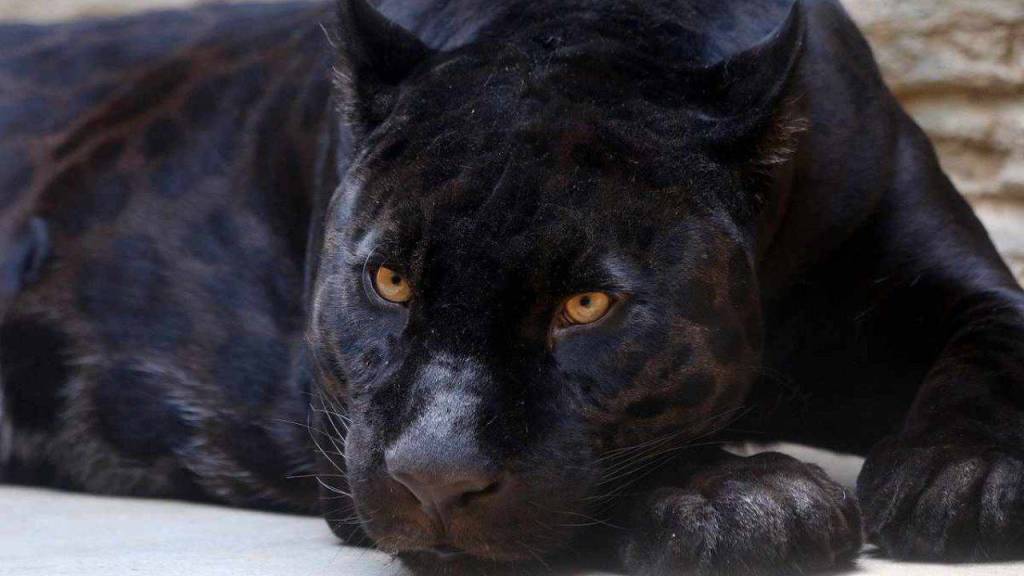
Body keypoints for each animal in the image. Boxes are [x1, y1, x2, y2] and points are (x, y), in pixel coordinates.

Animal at [2, 1, 1023, 575]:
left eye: (586, 305)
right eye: (390, 280)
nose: (435, 479)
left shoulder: (948, 276)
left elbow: (996, 352)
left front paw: (963, 479)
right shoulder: (342, 435)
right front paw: (749, 496)